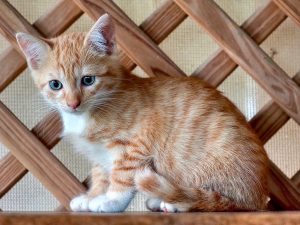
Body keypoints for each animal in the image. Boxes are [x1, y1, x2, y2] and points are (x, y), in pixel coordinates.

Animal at [15, 14, 270, 213]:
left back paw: (176, 202)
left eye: (88, 80)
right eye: (55, 85)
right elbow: (100, 173)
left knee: (219, 202)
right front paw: (93, 195)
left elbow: (122, 175)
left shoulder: (133, 145)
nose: (73, 103)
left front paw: (110, 201)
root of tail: (257, 198)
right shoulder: (100, 154)